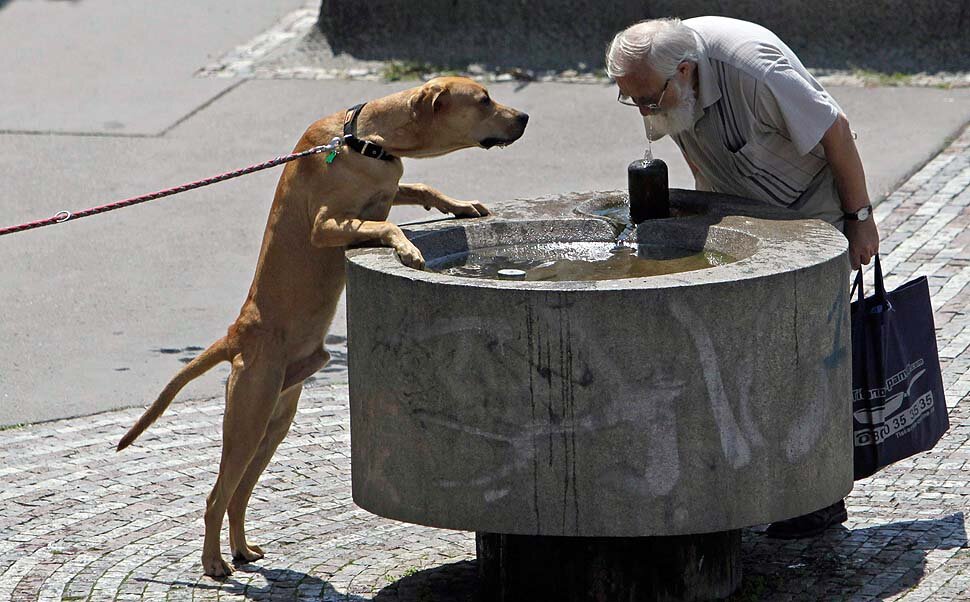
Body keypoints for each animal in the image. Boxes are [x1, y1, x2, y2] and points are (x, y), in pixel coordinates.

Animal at [118, 77, 532, 576]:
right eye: (484, 100)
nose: (525, 117)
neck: (363, 139)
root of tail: (240, 332)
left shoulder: (389, 187)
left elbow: (417, 185)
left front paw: (460, 206)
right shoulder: (327, 224)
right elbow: (387, 226)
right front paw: (409, 249)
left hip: (275, 420)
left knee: (239, 494)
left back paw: (241, 548)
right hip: (247, 419)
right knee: (217, 496)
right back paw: (214, 562)